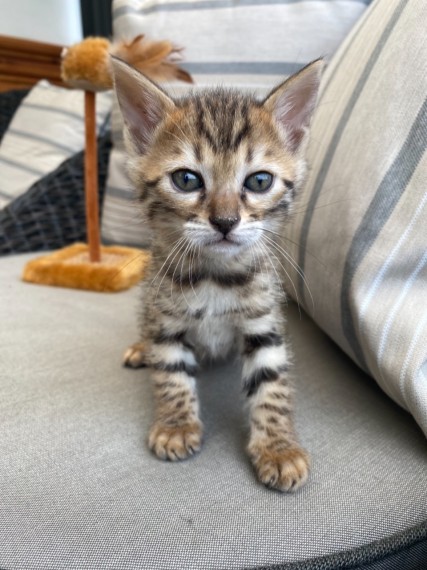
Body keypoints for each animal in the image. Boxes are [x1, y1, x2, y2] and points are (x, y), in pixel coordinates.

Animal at [112, 58, 322, 492]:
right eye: (186, 179)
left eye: (259, 180)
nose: (225, 221)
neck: (215, 276)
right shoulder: (165, 319)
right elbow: (171, 373)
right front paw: (176, 425)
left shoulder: (264, 322)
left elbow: (271, 385)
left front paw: (278, 447)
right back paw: (141, 348)